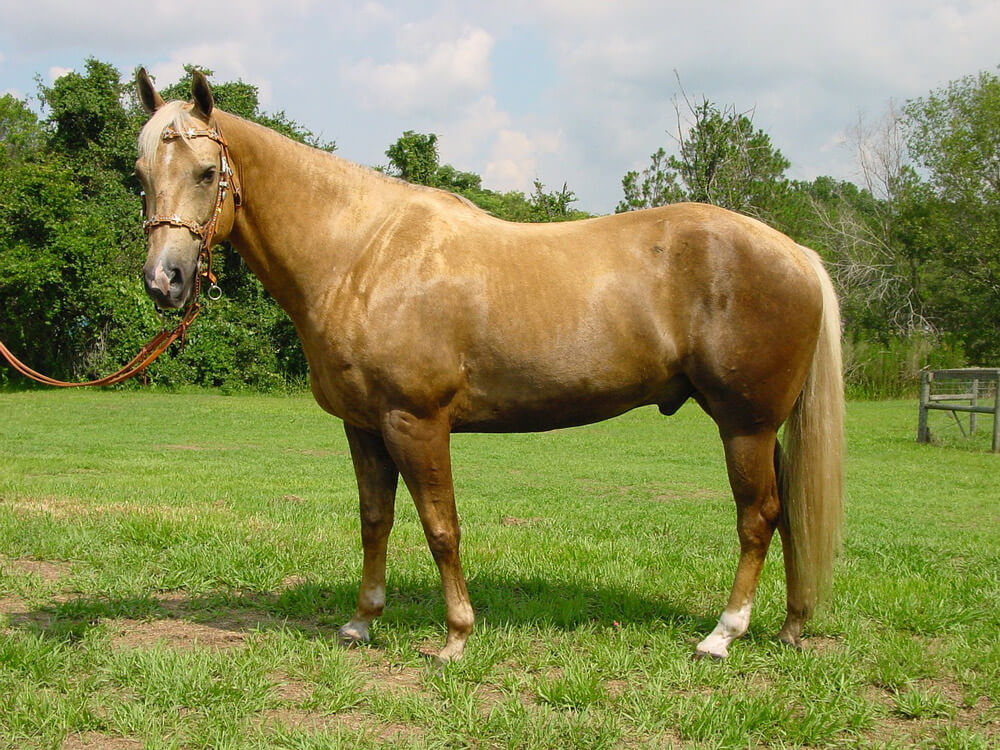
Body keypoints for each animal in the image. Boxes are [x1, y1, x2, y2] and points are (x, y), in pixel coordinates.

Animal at [135, 72, 844, 664]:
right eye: (140, 173)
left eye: (206, 172)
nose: (164, 281)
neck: (362, 254)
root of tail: (797, 254)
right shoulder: (363, 427)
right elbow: (374, 521)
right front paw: (362, 622)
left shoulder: (416, 423)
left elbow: (440, 527)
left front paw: (455, 637)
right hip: (763, 429)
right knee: (785, 515)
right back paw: (790, 626)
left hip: (744, 425)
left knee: (758, 517)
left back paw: (723, 635)